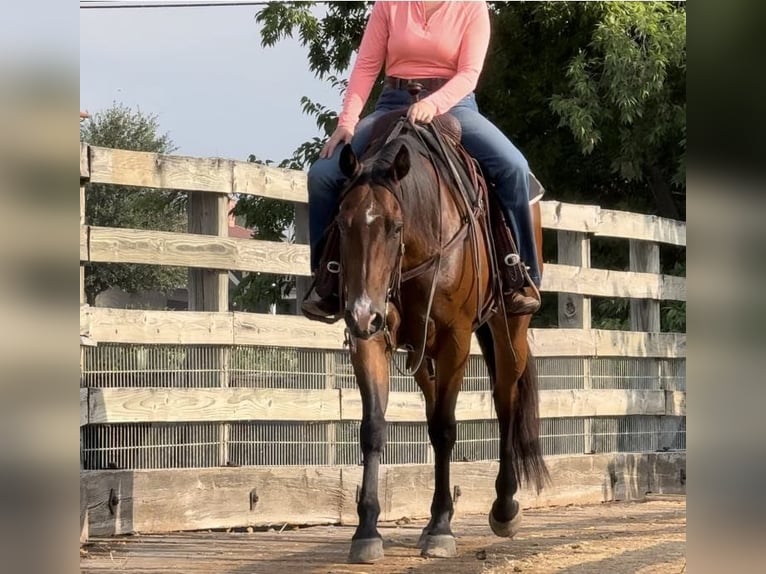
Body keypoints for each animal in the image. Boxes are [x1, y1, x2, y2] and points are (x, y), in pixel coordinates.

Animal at [332, 110, 549, 563]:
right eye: (341, 224)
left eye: (395, 226)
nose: (361, 312)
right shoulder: (371, 339)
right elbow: (374, 427)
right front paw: (367, 530)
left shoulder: (455, 339)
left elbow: (447, 429)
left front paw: (442, 529)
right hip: (419, 351)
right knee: (434, 411)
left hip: (509, 329)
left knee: (505, 401)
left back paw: (504, 507)